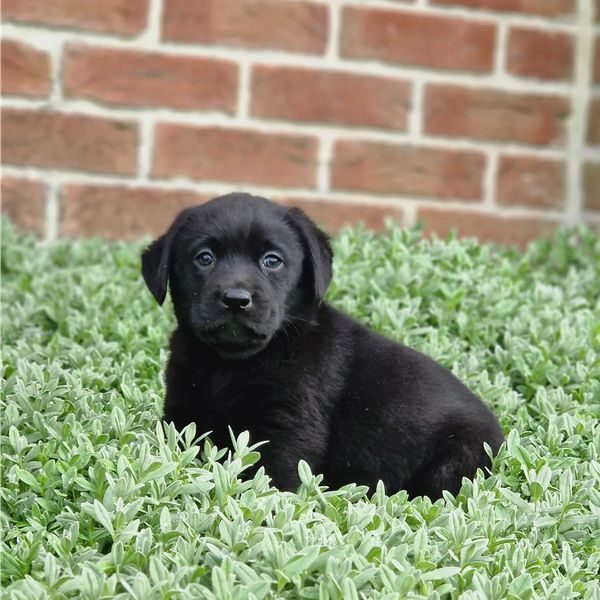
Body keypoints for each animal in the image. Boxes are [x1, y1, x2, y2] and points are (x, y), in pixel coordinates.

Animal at [143, 192, 504, 496]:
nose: (236, 299)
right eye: (204, 258)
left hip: (457, 458)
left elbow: (268, 478)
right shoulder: (182, 416)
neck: (229, 363)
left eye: (272, 261)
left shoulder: (287, 428)